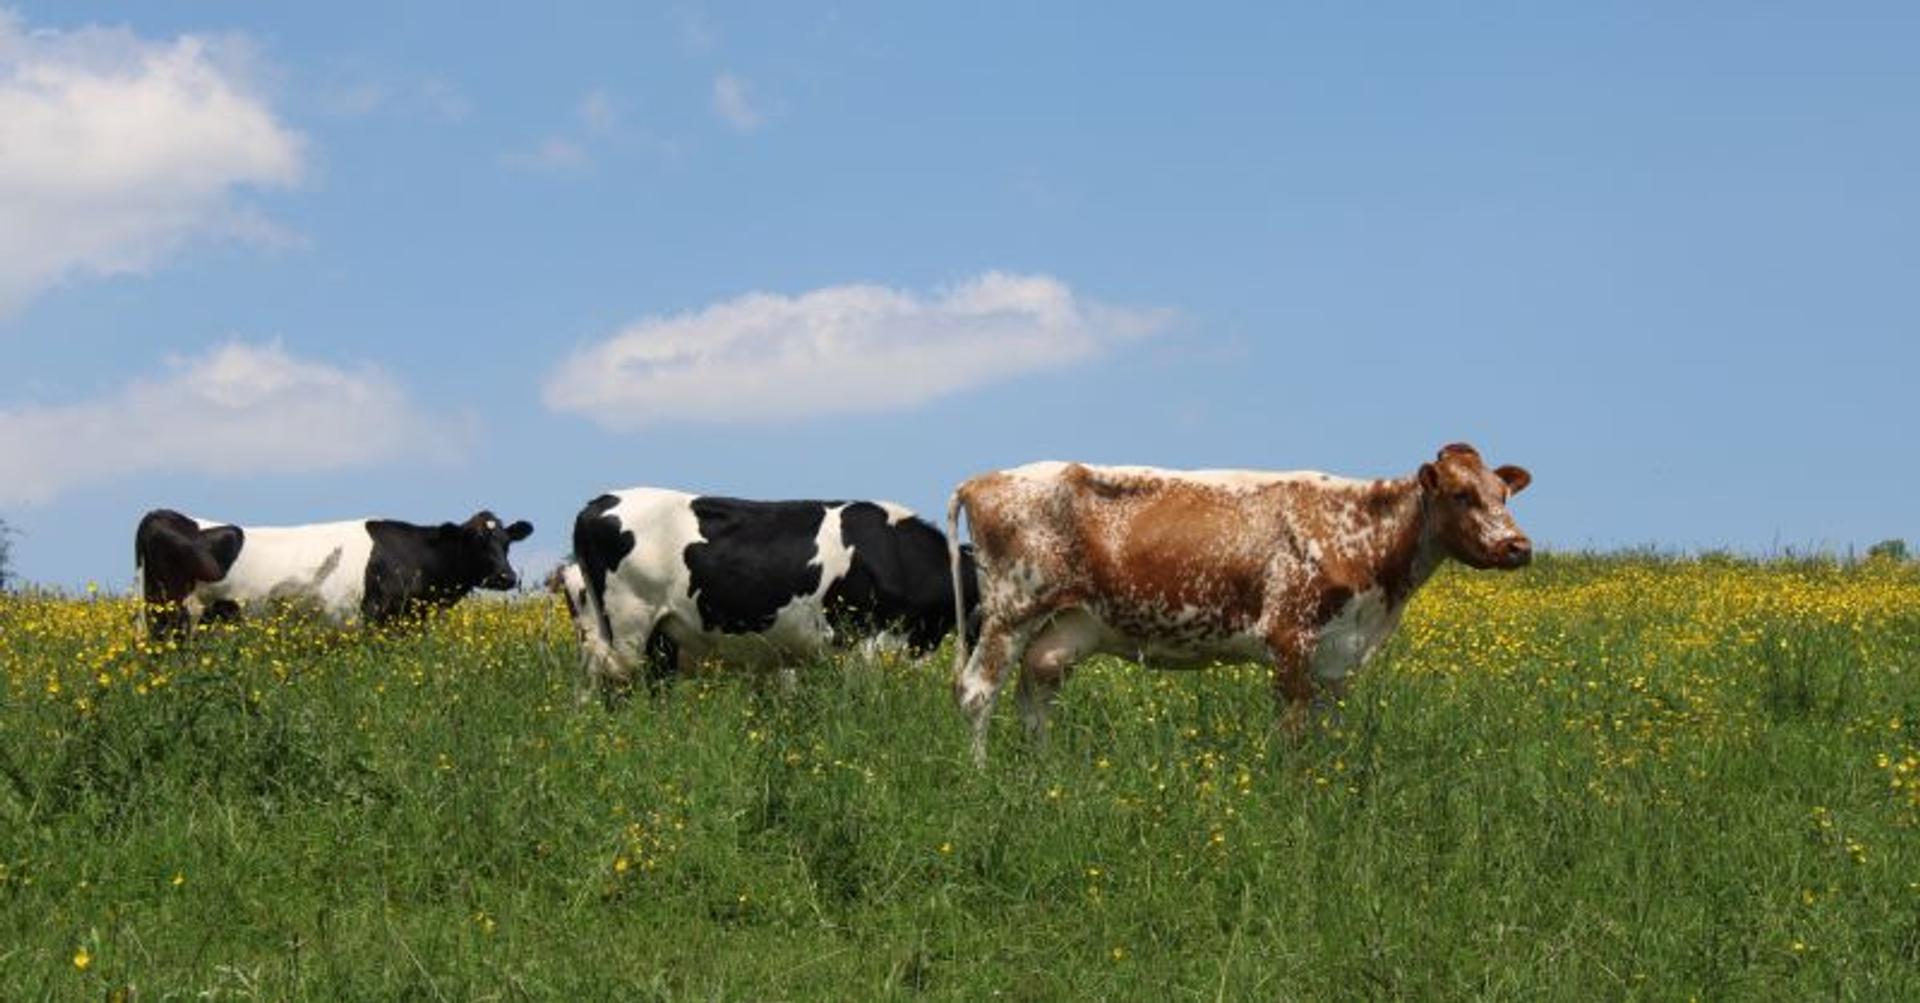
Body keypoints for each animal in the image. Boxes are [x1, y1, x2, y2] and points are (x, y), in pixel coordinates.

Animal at [135, 508, 534, 640]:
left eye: (506, 542)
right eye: (474, 540)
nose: (506, 577)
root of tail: (162, 513)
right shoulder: (380, 619)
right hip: (169, 612)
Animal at [946, 443, 1533, 763]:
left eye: (1503, 494)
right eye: (1461, 495)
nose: (1518, 546)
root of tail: (982, 479)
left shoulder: (1338, 654)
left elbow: (1328, 727)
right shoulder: (1289, 635)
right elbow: (1292, 728)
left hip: (1065, 627)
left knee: (1034, 696)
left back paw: (1043, 774)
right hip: (1011, 611)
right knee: (977, 693)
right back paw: (980, 777)